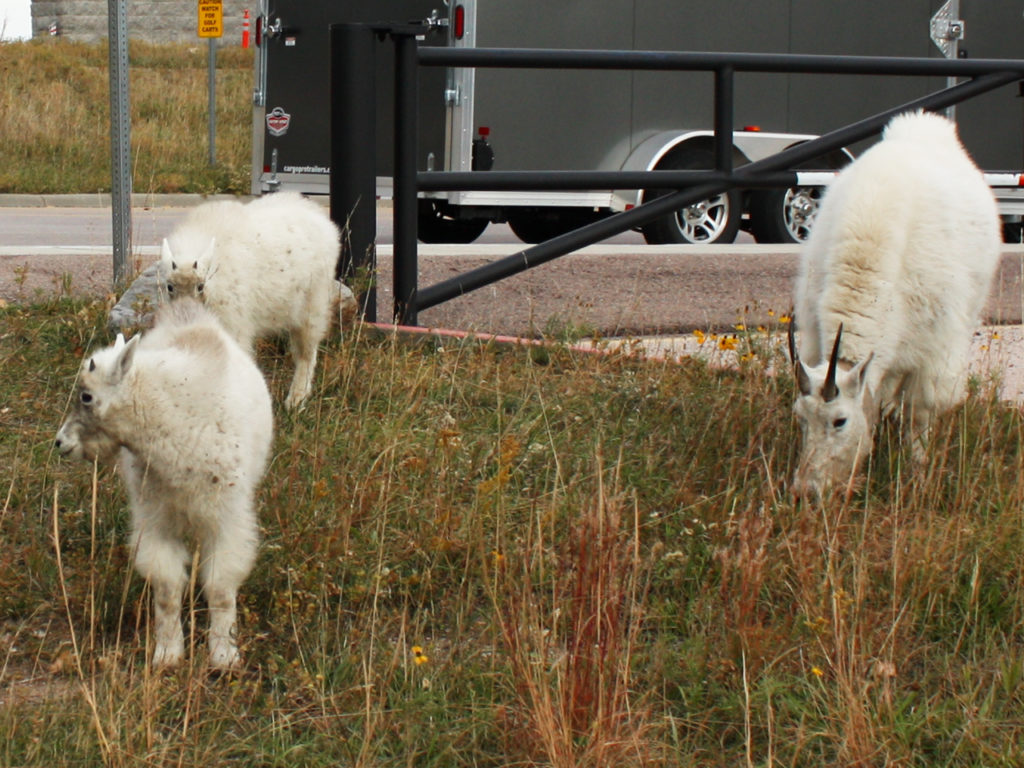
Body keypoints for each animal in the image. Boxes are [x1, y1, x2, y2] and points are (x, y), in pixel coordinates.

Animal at [56, 299, 273, 669]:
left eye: (86, 396)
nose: (61, 443)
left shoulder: (226, 518)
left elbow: (220, 588)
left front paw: (224, 655)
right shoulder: (156, 519)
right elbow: (168, 589)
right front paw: (168, 654)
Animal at [790, 110, 1001, 498]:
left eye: (840, 421)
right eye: (800, 417)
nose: (806, 491)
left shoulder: (937, 348)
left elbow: (921, 411)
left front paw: (917, 469)